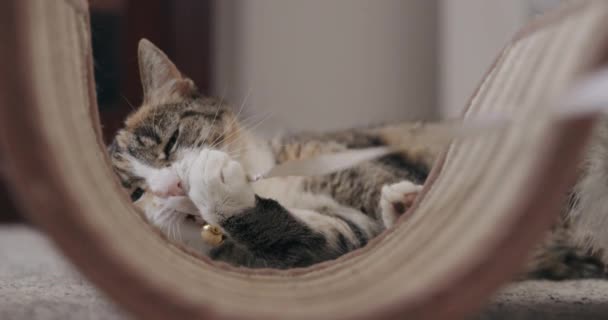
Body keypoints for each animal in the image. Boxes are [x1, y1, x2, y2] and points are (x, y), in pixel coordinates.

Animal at [109, 38, 608, 278]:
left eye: (172, 141)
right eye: (134, 195)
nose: (173, 185)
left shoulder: (357, 162)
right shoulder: (339, 239)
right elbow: (308, 233)